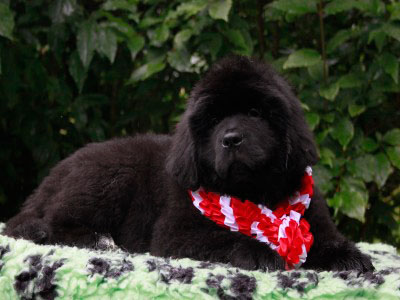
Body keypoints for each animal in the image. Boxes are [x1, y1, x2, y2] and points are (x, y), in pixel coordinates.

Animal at [5, 55, 376, 272]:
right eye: (212, 120)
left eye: (255, 113)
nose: (231, 139)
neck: (255, 193)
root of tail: (54, 174)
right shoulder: (176, 234)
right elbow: (225, 238)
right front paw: (260, 252)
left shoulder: (314, 219)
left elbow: (326, 240)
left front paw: (349, 256)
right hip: (109, 177)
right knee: (52, 222)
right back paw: (99, 239)